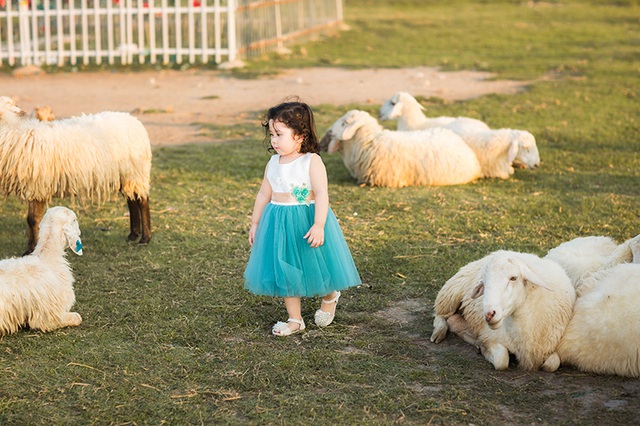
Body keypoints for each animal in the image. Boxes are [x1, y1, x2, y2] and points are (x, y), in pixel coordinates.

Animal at [0, 96, 151, 255]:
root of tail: (134, 121)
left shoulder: (37, 186)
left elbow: (33, 219)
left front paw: (30, 249)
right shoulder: (33, 187)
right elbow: (31, 220)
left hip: (136, 172)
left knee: (142, 201)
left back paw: (145, 238)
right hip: (126, 175)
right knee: (132, 200)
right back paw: (133, 235)